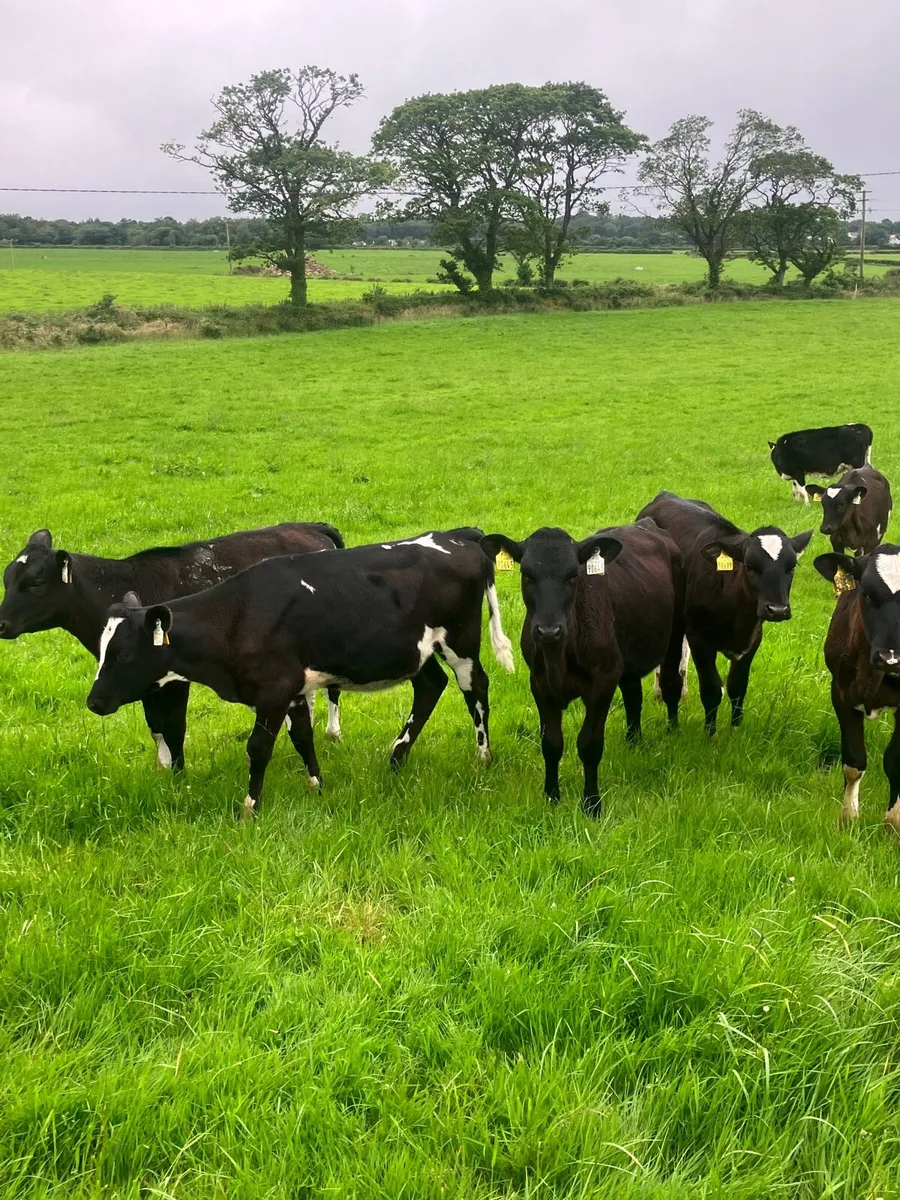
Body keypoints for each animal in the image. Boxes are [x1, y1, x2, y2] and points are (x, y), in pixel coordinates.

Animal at [0, 523, 344, 771]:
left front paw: (180, 778)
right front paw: (164, 770)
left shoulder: (175, 679)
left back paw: (332, 732)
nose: (1, 624)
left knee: (333, 690)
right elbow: (155, 727)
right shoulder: (138, 679)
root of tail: (309, 526)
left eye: (35, 582)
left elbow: (174, 727)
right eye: (7, 579)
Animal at [85, 530, 515, 818]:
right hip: (420, 652)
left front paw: (250, 808)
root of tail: (458, 535)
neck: (238, 616)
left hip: (460, 641)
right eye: (101, 651)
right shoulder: (292, 689)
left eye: (124, 654)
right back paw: (396, 757)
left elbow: (259, 748)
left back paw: (483, 757)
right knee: (430, 687)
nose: (93, 700)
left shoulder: (273, 692)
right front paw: (317, 786)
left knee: (475, 688)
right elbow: (303, 738)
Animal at [479, 520, 686, 816]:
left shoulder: (603, 682)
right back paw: (633, 741)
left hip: (676, 630)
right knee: (633, 694)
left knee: (670, 682)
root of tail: (646, 525)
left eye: (572, 576)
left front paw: (591, 803)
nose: (549, 631)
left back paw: (673, 730)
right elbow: (551, 743)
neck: (559, 655)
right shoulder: (539, 684)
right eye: (527, 574)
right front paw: (551, 796)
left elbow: (589, 745)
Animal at [636, 493, 812, 734]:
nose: (777, 610)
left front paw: (735, 730)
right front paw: (710, 734)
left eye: (791, 567)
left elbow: (737, 687)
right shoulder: (700, 640)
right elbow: (711, 690)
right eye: (750, 566)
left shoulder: (753, 640)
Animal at [814, 545, 900, 832]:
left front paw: (893, 823)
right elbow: (853, 762)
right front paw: (848, 819)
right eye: (867, 594)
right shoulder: (840, 693)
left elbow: (895, 761)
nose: (891, 658)